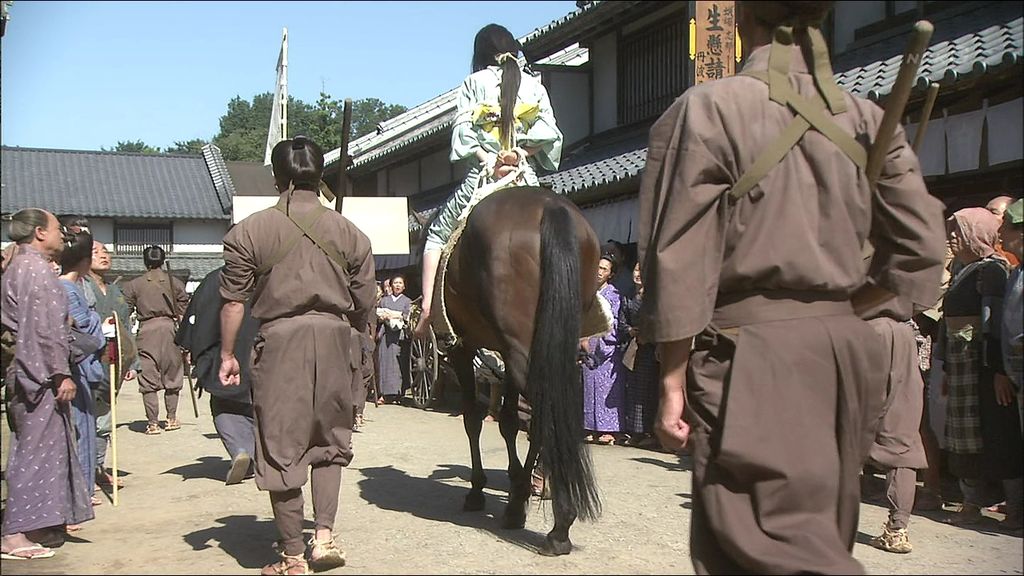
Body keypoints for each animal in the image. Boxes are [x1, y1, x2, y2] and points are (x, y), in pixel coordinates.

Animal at [438, 183, 598, 553]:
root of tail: (551, 205)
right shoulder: (507, 355)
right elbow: (510, 422)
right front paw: (515, 492)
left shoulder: (464, 347)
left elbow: (473, 418)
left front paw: (477, 490)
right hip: (542, 349)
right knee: (548, 416)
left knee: (545, 414)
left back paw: (559, 525)